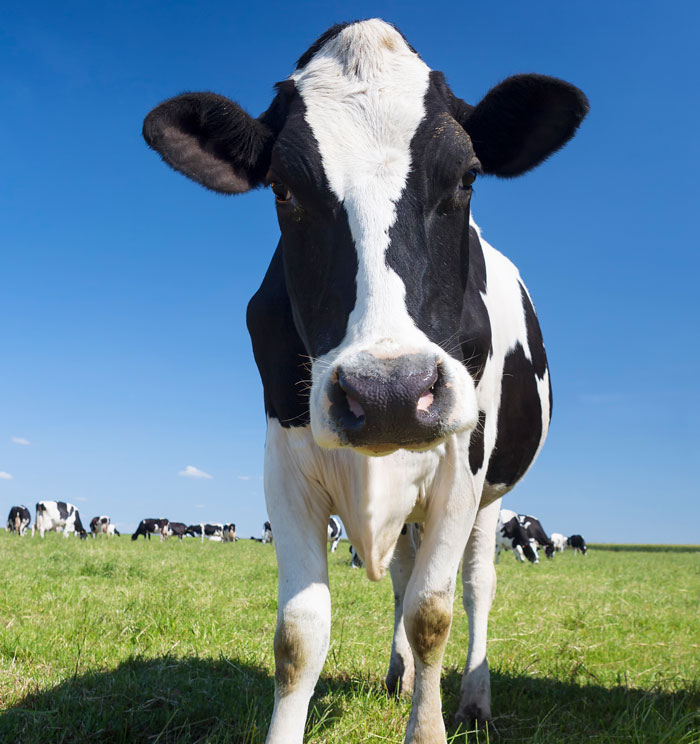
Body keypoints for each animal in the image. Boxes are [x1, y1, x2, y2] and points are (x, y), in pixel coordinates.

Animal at [143, 18, 587, 742]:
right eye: (282, 188)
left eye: (468, 176)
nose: (390, 394)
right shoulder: (285, 462)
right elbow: (300, 635)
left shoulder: (460, 467)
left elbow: (434, 613)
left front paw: (429, 728)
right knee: (403, 577)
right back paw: (398, 676)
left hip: (492, 500)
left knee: (474, 587)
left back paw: (473, 700)